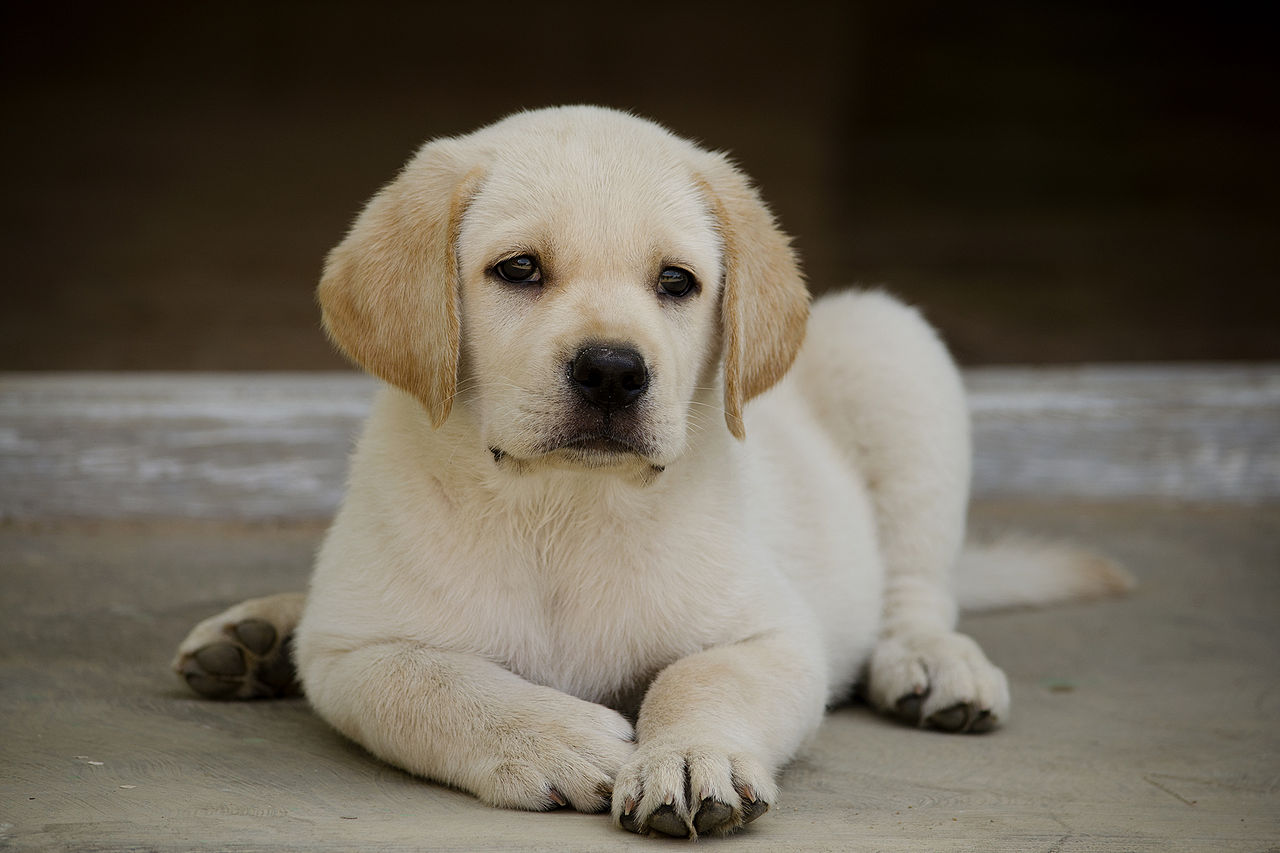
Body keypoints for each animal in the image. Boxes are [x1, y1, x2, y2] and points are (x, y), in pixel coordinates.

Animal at [172, 106, 1131, 835]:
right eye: (518, 269)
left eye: (676, 281)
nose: (611, 371)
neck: (562, 505)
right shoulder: (354, 649)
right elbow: (437, 679)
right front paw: (559, 738)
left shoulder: (774, 633)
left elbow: (699, 675)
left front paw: (690, 755)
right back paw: (256, 637)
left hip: (895, 349)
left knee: (918, 592)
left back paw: (936, 664)